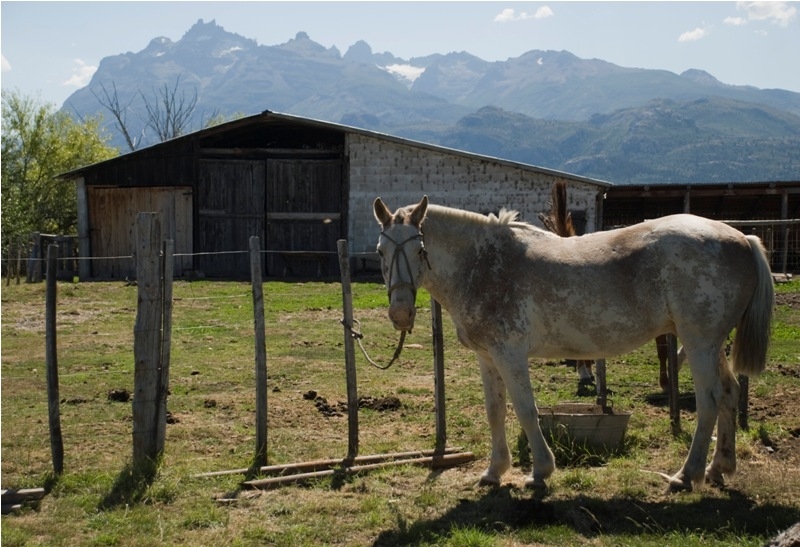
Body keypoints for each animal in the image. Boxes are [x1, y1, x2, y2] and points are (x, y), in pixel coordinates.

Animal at [376, 196, 776, 492]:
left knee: (709, 401)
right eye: (381, 251)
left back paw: (686, 475)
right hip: (712, 344)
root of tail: (743, 239)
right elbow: (495, 411)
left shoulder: (510, 354)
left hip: (698, 343)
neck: (484, 264)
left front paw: (539, 472)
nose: (400, 314)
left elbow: (526, 410)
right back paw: (719, 467)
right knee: (729, 393)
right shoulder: (488, 358)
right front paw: (493, 472)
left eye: (420, 249)